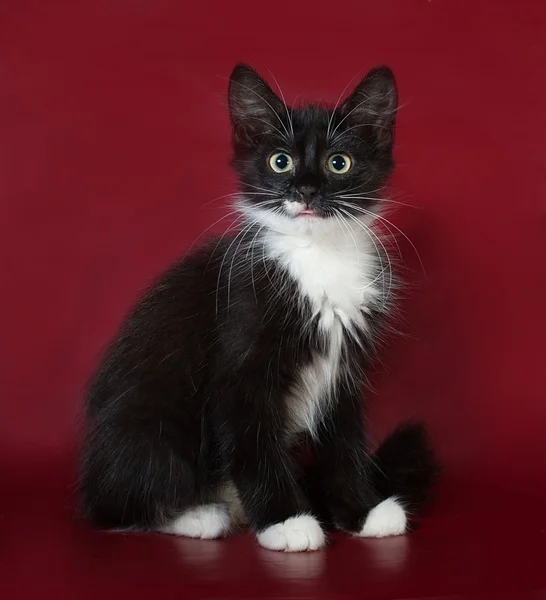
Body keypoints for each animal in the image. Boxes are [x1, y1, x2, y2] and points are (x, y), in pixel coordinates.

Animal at [78, 63, 436, 552]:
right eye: (280, 161)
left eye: (338, 162)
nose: (306, 190)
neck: (317, 256)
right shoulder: (239, 356)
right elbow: (252, 442)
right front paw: (287, 521)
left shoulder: (343, 364)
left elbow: (343, 441)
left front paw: (361, 512)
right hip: (150, 422)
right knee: (120, 503)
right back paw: (200, 514)